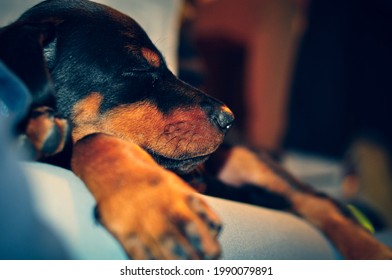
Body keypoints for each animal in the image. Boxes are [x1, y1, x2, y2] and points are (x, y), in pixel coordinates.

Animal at [0, 0, 392, 260]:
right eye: (139, 70)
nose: (229, 118)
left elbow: (96, 139)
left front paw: (157, 207)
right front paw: (36, 131)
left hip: (247, 161)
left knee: (322, 203)